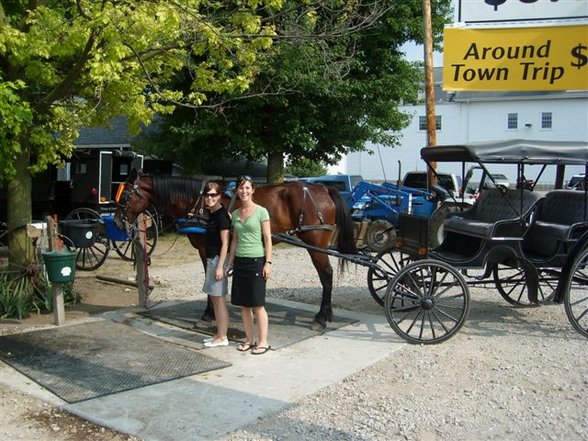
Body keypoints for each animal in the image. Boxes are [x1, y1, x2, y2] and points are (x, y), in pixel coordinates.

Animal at [113, 168, 356, 326]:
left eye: (124, 197)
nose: (116, 223)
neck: (200, 203)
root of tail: (322, 189)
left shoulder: (207, 249)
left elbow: (209, 278)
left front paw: (208, 313)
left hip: (315, 244)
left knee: (326, 275)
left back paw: (322, 317)